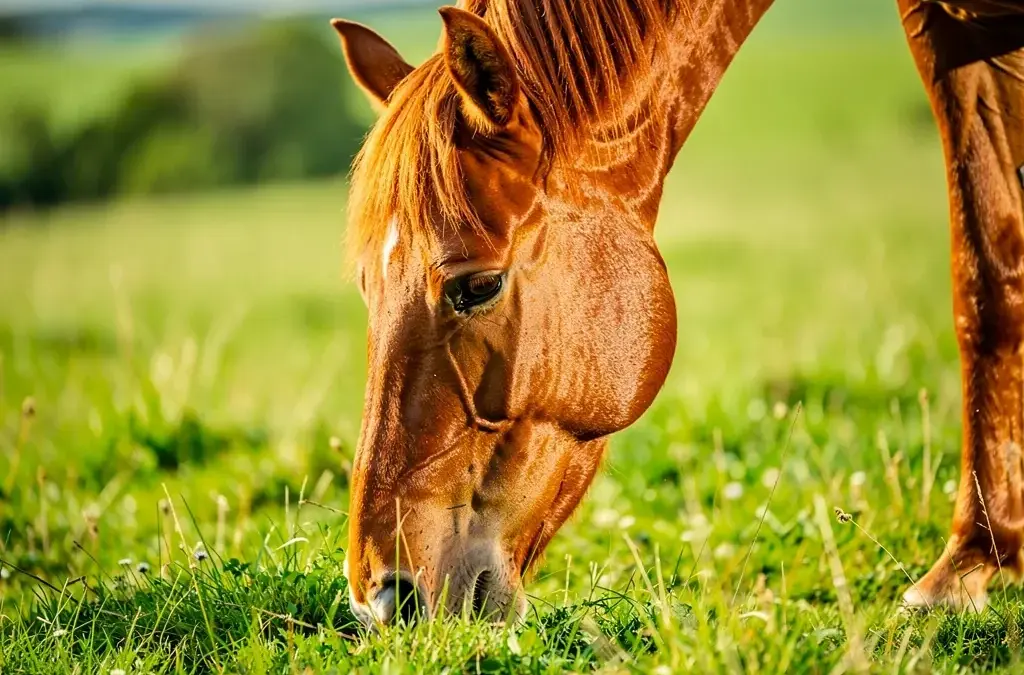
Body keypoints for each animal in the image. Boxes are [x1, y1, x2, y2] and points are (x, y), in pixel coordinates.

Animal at [330, 0, 1024, 625]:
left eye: (478, 286)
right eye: (366, 288)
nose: (383, 600)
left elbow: (985, 279)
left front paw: (966, 566)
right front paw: (982, 559)